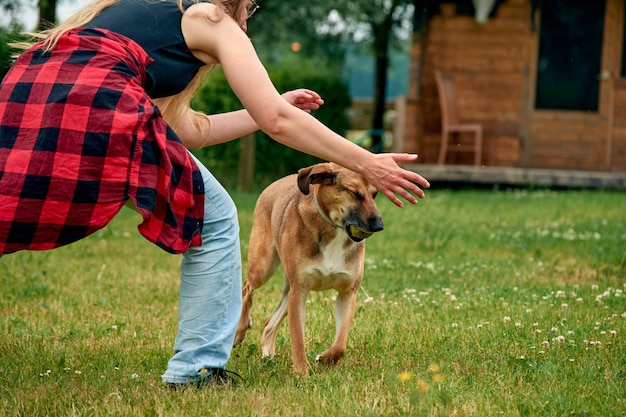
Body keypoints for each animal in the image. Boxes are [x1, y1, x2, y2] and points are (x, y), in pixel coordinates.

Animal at [233, 162, 380, 374]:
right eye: (354, 193)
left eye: (375, 194)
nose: (379, 226)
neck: (334, 229)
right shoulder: (299, 292)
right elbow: (298, 340)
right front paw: (301, 373)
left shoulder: (347, 294)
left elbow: (341, 344)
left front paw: (326, 359)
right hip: (263, 266)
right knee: (247, 287)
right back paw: (240, 330)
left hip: (287, 288)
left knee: (269, 324)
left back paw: (268, 355)